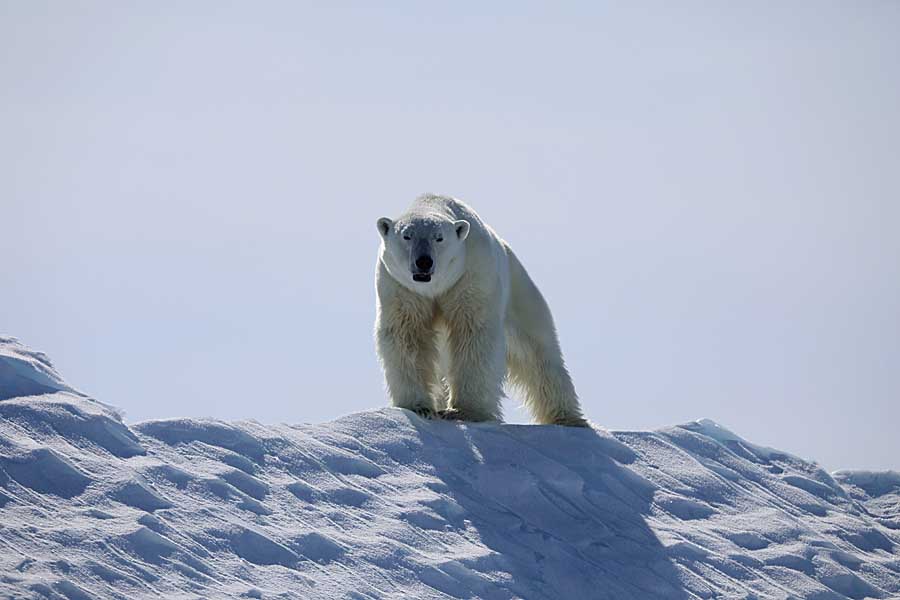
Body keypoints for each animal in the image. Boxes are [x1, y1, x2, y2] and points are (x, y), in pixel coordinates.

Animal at [374, 193, 592, 426]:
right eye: (407, 236)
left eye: (439, 238)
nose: (424, 261)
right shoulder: (401, 287)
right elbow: (407, 335)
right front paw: (419, 407)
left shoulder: (472, 273)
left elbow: (473, 332)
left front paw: (465, 411)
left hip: (520, 292)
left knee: (538, 354)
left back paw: (568, 418)